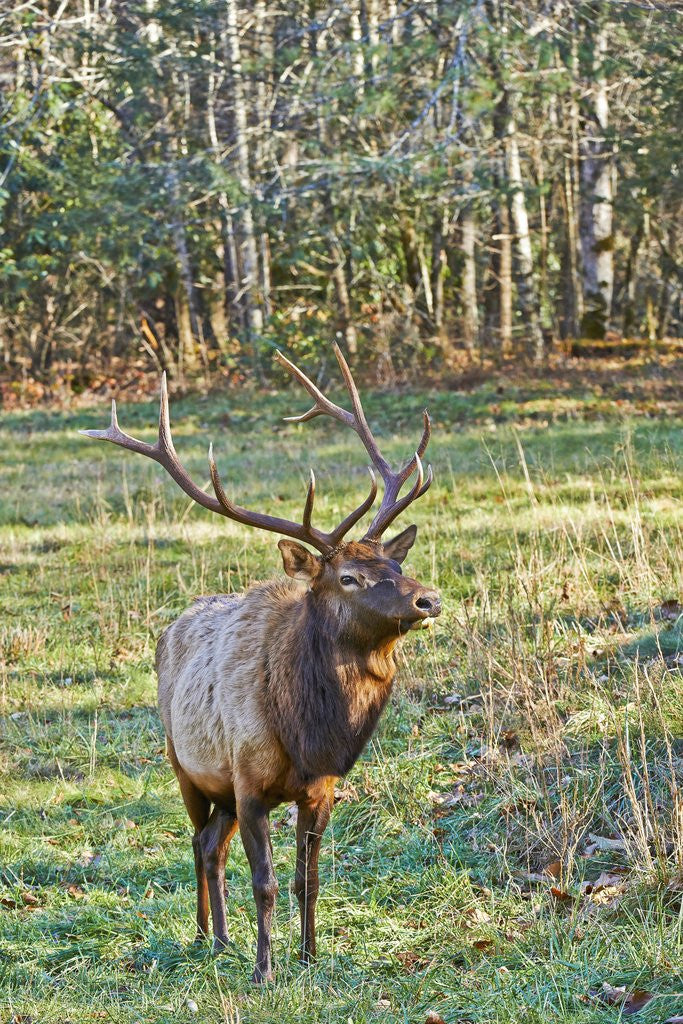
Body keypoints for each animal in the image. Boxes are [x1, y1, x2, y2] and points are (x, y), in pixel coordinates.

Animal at [80, 343, 441, 983]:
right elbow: (266, 882)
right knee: (199, 842)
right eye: (349, 577)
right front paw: (265, 970)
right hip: (184, 764)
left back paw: (221, 938)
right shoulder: (247, 781)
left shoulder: (321, 789)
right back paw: (208, 936)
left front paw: (311, 955)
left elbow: (308, 880)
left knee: (210, 844)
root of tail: (170, 627)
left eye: (395, 566)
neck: (309, 733)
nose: (429, 599)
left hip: (216, 786)